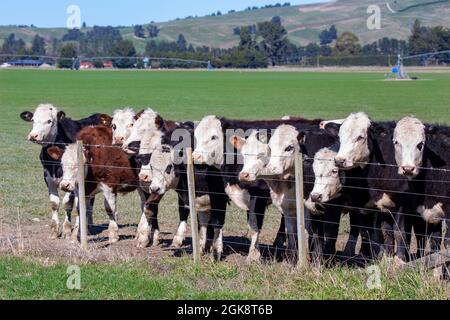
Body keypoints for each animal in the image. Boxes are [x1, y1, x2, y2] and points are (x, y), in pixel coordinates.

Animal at [19, 104, 111, 239]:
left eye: (49, 121)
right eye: (33, 120)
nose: (33, 135)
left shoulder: (71, 181)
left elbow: (68, 204)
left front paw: (67, 230)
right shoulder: (48, 177)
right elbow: (54, 203)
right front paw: (54, 230)